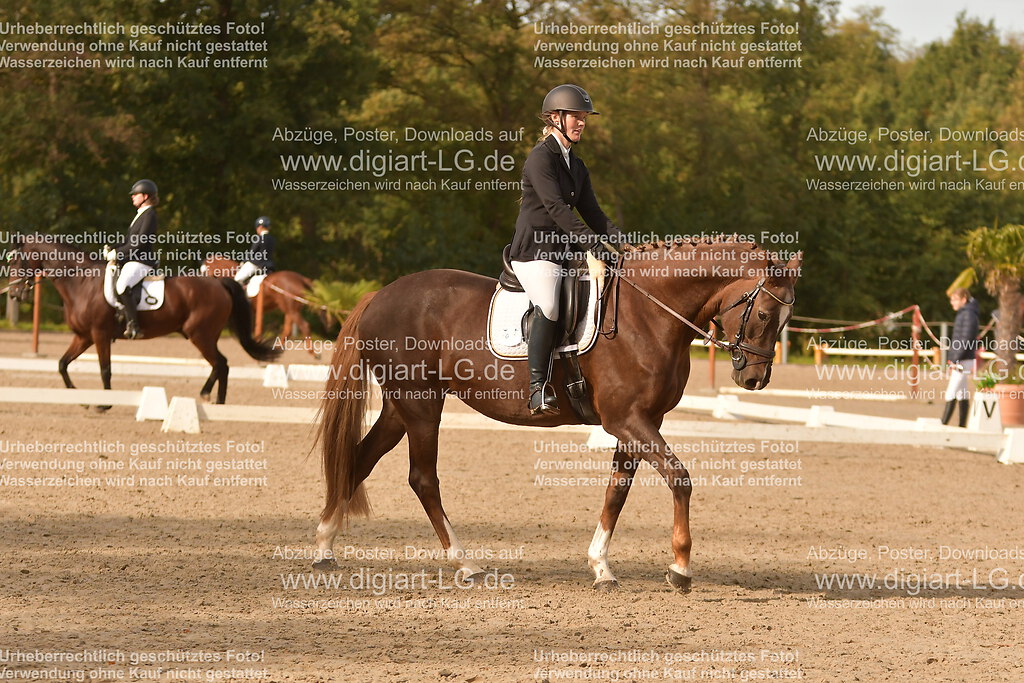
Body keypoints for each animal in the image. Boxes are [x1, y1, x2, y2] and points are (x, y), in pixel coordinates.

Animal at [7, 233, 281, 405]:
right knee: (220, 364)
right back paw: (212, 398)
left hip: (200, 334)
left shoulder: (99, 334)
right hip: (203, 335)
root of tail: (219, 283)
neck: (81, 282)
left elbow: (105, 370)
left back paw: (215, 400)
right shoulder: (83, 336)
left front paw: (104, 404)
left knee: (221, 363)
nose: (12, 293)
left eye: (17, 260)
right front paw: (79, 397)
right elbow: (63, 364)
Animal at [311, 236, 800, 593]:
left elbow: (617, 493)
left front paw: (601, 567)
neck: (649, 313)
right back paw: (466, 563)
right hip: (421, 404)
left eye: (783, 320)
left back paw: (324, 548)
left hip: (402, 405)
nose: (753, 379)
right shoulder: (628, 420)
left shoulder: (641, 423)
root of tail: (379, 295)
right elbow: (680, 479)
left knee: (360, 458)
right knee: (422, 478)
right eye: (763, 313)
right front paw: (680, 568)